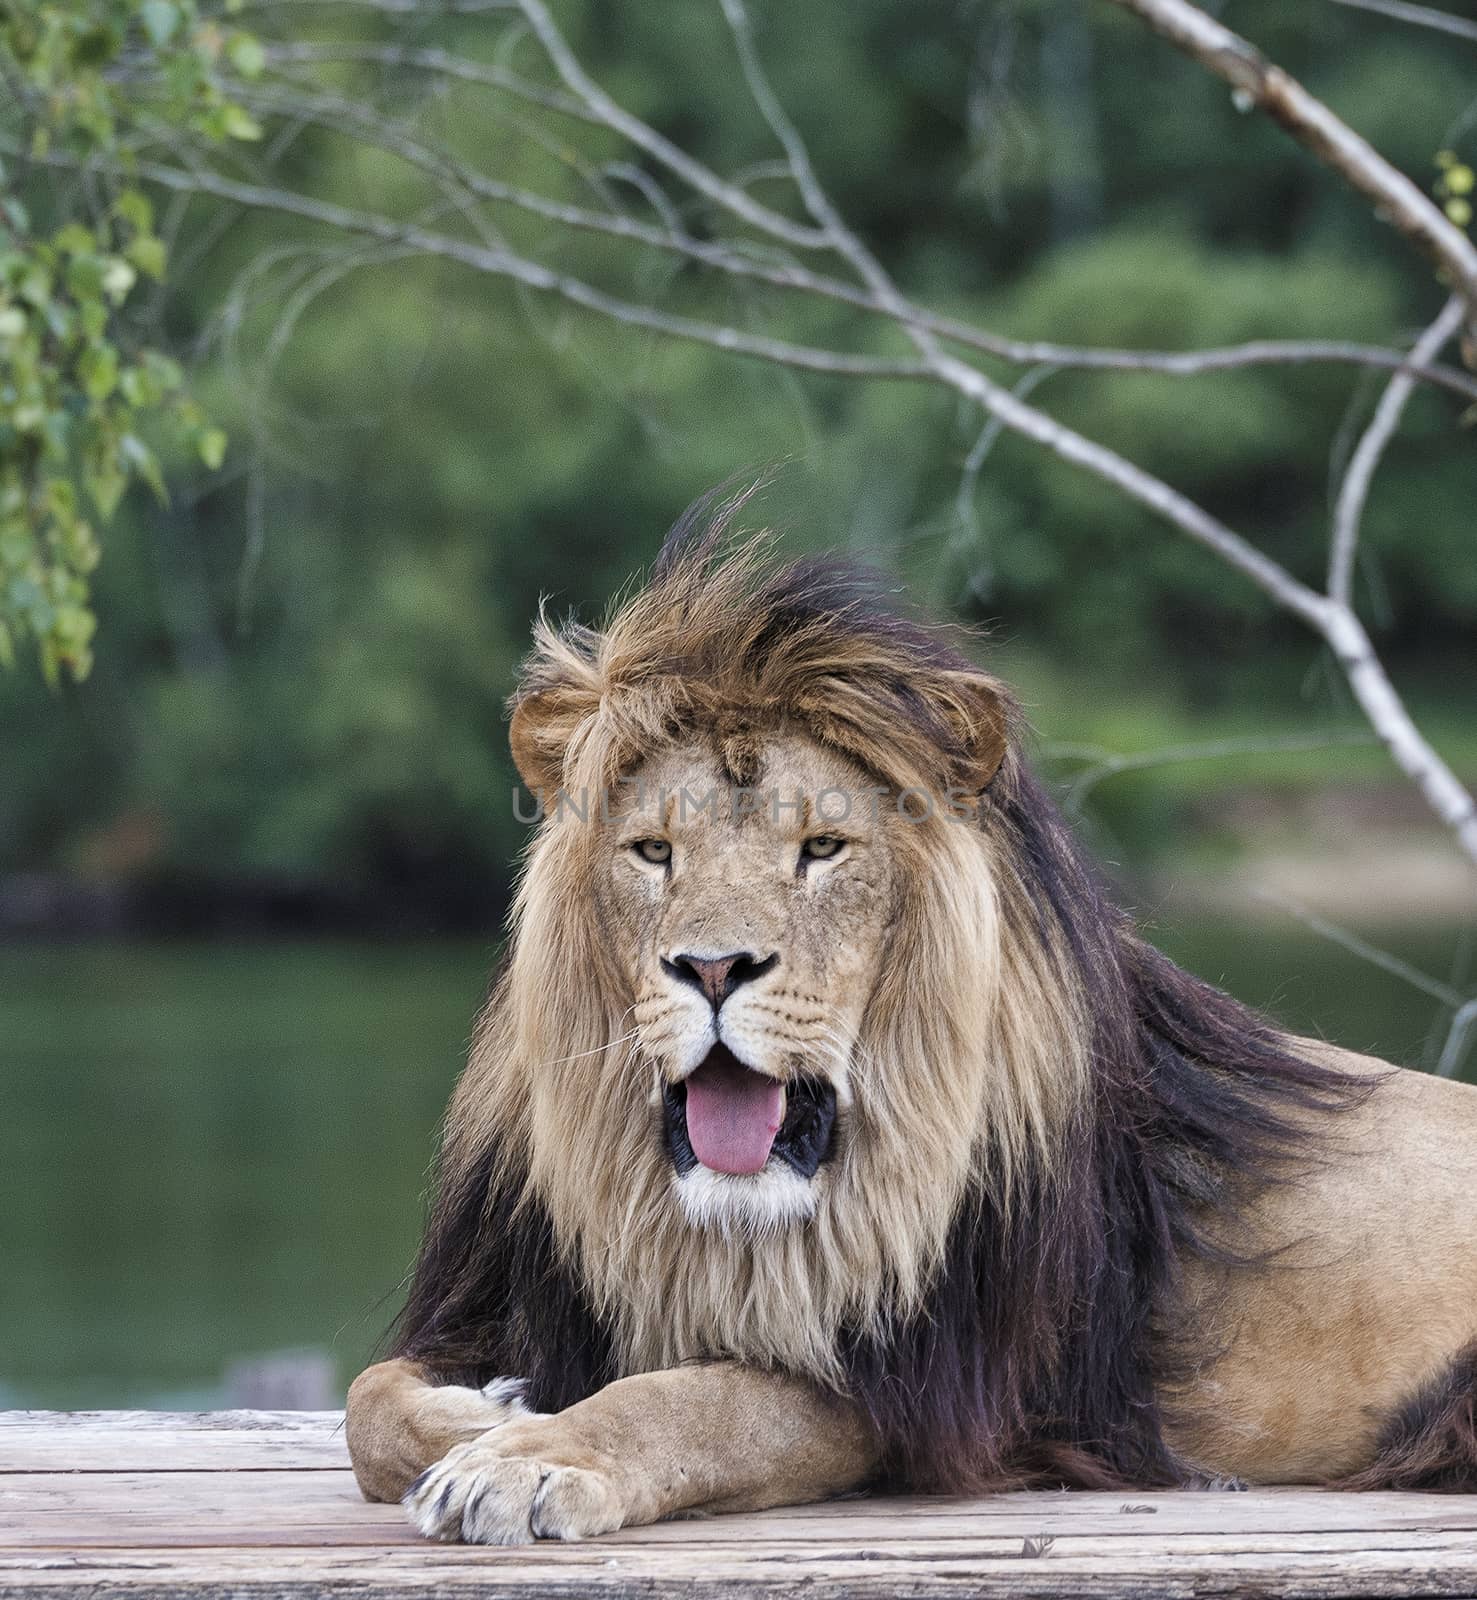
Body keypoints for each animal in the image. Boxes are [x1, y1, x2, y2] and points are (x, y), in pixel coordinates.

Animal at [344, 505, 1477, 1542]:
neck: (718, 1233)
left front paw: (525, 1457)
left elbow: (694, 1401)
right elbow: (367, 1405)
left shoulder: (927, 1394)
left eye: (823, 848)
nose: (711, 966)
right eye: (653, 851)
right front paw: (479, 1412)